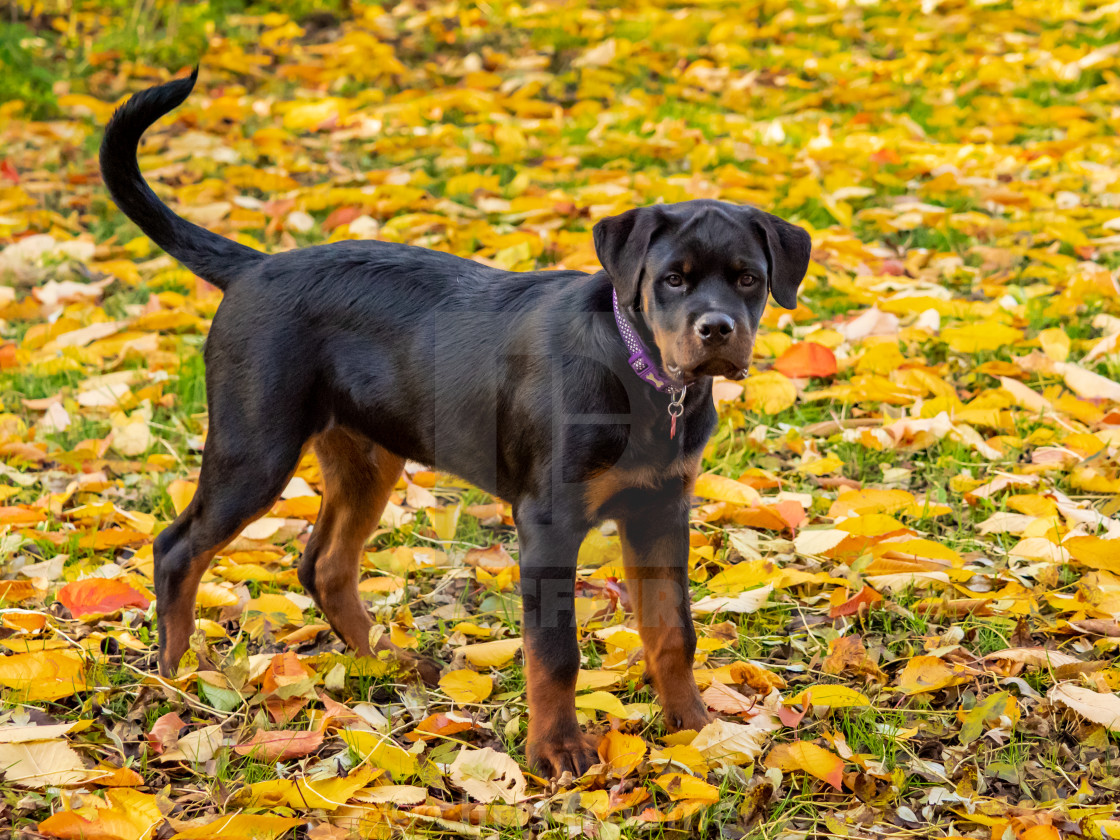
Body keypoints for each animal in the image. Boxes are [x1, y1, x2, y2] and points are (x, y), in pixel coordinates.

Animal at [100, 69, 810, 779]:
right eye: (672, 280)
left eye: (749, 279)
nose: (717, 330)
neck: (645, 379)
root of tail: (252, 266)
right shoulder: (548, 522)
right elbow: (555, 650)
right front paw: (558, 751)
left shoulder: (661, 510)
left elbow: (672, 631)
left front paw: (698, 729)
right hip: (255, 447)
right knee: (177, 549)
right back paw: (176, 680)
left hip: (366, 456)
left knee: (324, 564)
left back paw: (383, 662)